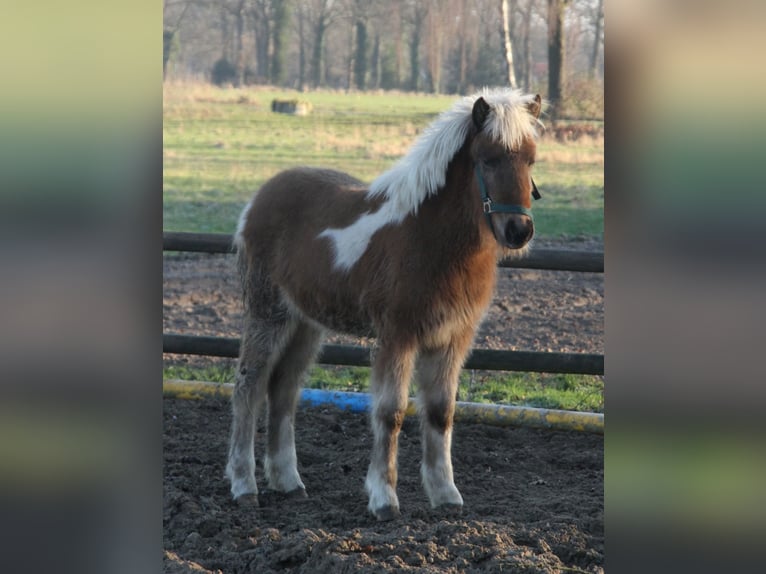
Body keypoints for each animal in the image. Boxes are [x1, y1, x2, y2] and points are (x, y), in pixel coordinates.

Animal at [226, 88, 543, 521]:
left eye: (531, 159)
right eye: (488, 159)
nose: (518, 231)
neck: (430, 239)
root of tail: (258, 198)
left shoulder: (453, 339)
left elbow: (441, 412)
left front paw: (446, 495)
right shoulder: (398, 335)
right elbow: (391, 412)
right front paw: (384, 499)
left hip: (305, 324)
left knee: (284, 389)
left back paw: (289, 483)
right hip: (268, 313)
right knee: (250, 386)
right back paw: (244, 486)